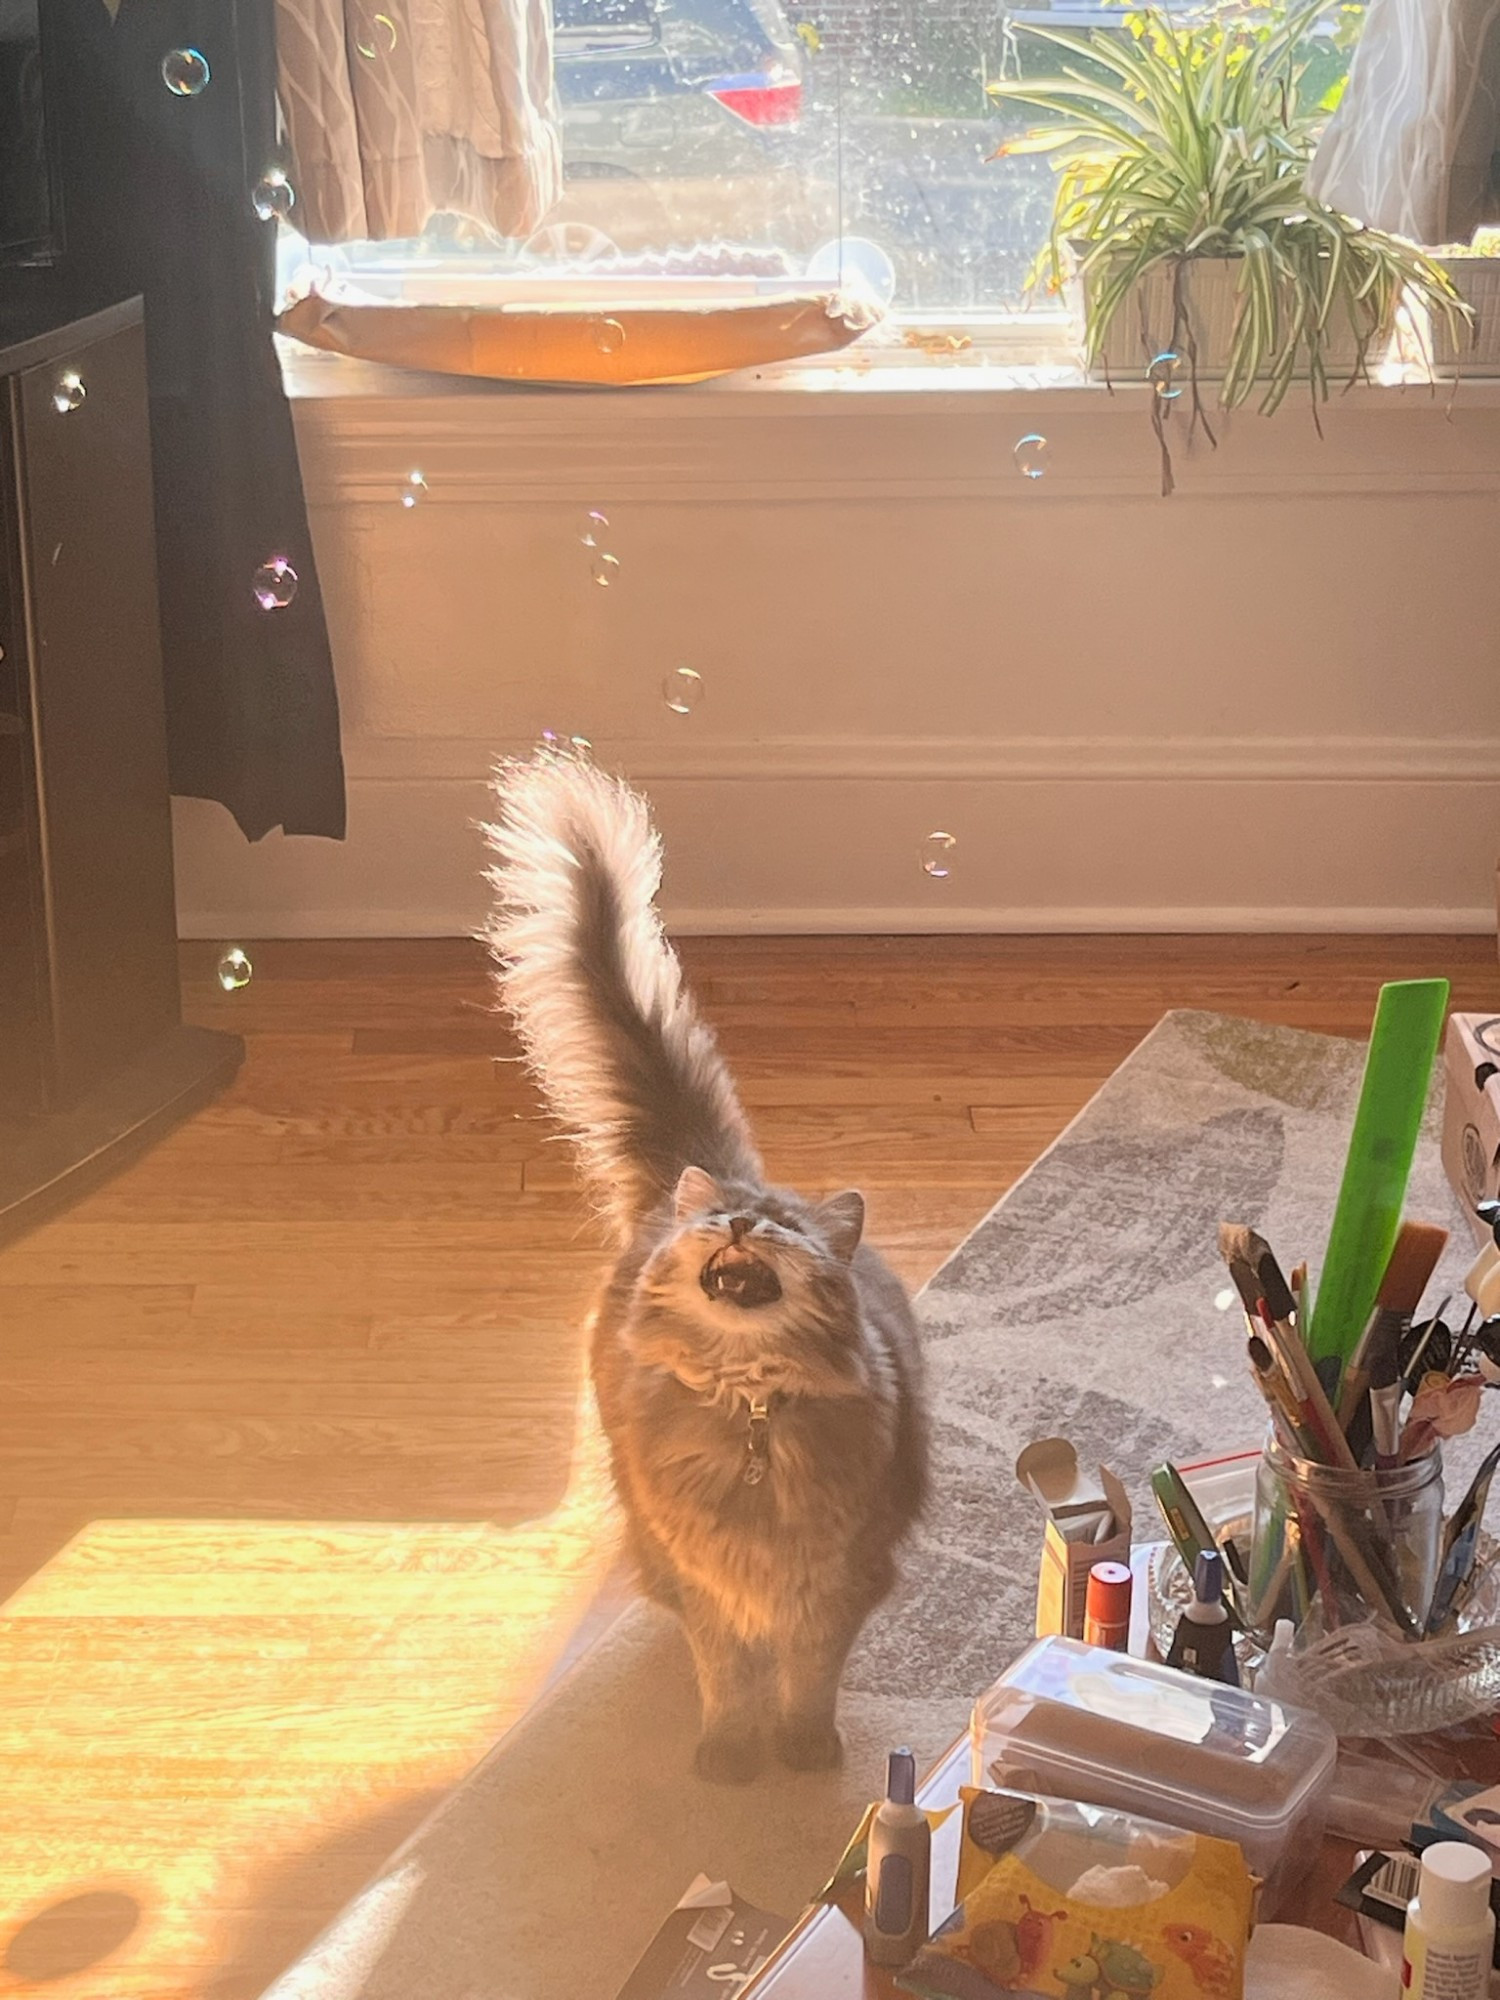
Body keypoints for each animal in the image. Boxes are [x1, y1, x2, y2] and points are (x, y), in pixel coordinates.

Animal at [484, 752, 928, 1784]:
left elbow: (808, 1672)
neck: (749, 1411)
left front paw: (802, 1747)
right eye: (724, 1225)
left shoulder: (839, 1576)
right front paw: (732, 1754)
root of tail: (706, 1160)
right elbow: (727, 1672)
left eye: (786, 1227)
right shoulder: (706, 1576)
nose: (738, 1218)